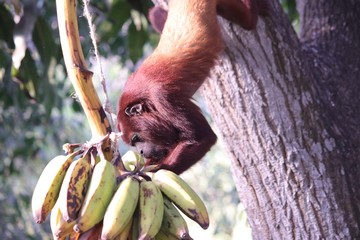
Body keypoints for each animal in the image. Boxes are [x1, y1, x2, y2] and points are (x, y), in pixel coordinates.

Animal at [117, 0, 264, 173]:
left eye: (136, 138)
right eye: (132, 143)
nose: (140, 152)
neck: (143, 96)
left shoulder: (164, 97)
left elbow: (203, 137)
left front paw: (150, 172)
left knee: (248, 22)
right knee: (155, 13)